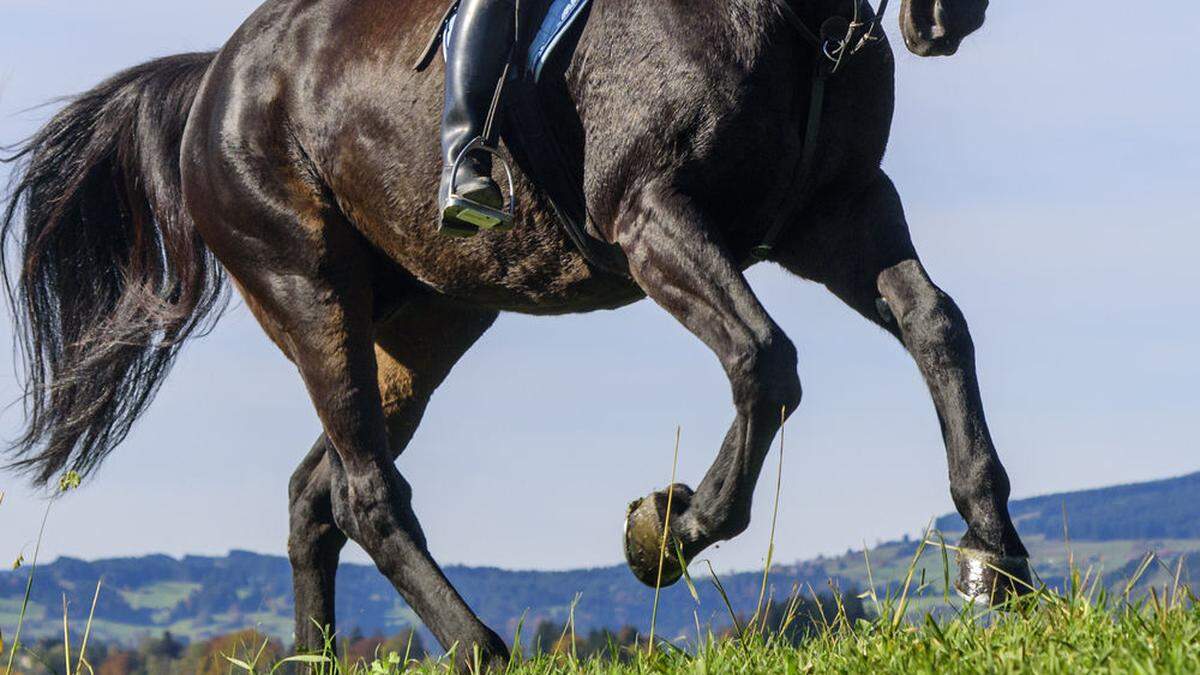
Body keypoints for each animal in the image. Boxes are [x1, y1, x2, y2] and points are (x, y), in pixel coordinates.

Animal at [4, 0, 1027, 662]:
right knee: (367, 491)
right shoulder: (652, 215)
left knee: (316, 493)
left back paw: (321, 655)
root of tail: (214, 75)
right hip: (307, 287)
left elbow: (938, 327)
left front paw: (1000, 562)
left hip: (431, 318)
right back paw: (481, 646)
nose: (950, 21)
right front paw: (668, 528)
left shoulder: (841, 212)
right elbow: (765, 359)